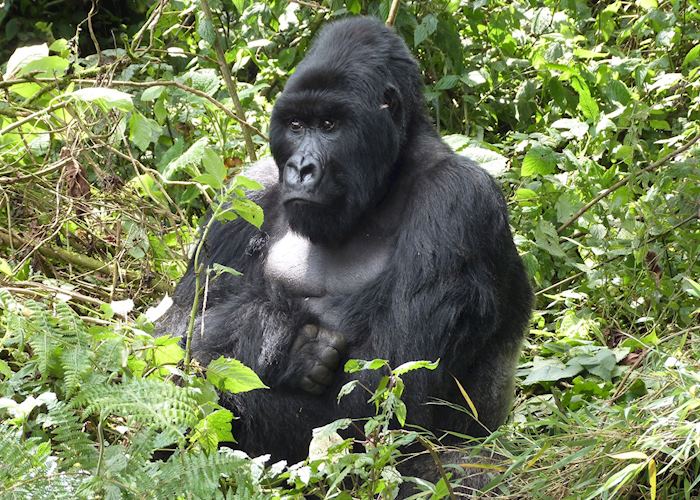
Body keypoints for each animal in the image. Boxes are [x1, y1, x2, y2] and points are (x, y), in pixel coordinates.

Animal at [159, 13, 532, 472]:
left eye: (329, 125)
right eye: (296, 125)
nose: (300, 168)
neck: (389, 177)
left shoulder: (458, 201)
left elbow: (386, 394)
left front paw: (273, 340)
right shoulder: (245, 191)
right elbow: (175, 327)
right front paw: (272, 335)